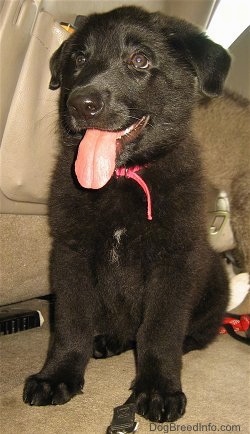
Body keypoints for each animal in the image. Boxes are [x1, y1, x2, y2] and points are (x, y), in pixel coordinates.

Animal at [23, 5, 230, 422]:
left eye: (140, 60)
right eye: (78, 59)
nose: (80, 103)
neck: (121, 177)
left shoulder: (174, 261)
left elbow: (159, 331)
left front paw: (158, 388)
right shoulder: (71, 253)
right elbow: (71, 323)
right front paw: (58, 375)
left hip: (216, 278)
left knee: (194, 332)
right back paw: (109, 340)